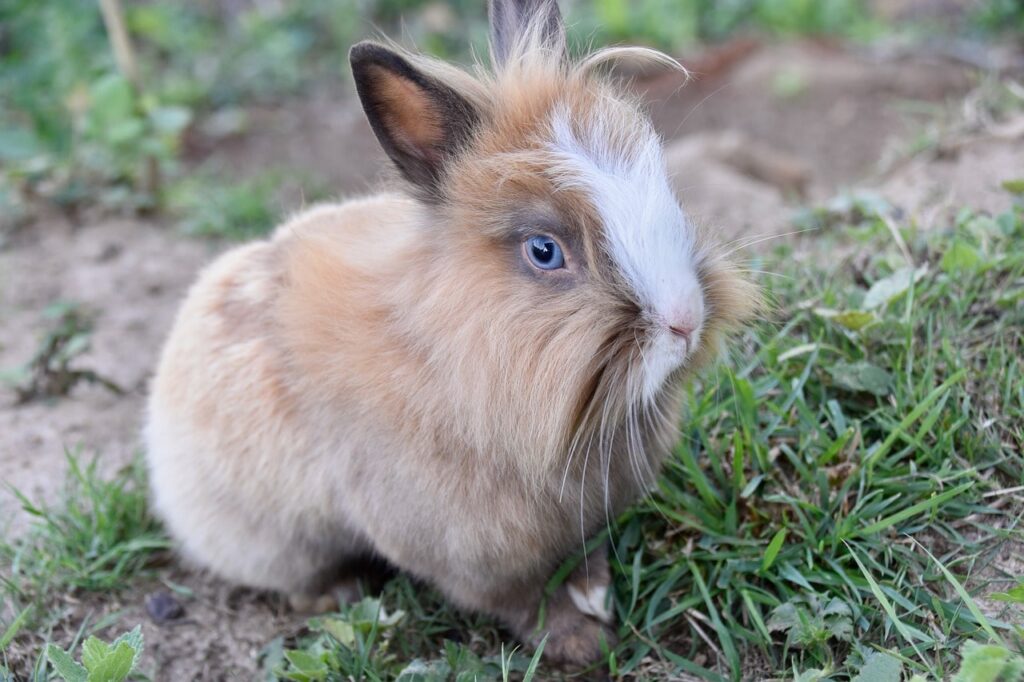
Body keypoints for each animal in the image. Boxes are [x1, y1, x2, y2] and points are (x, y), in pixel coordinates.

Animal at [144, 0, 757, 666]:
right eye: (544, 251)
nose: (685, 320)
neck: (452, 355)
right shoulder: (467, 552)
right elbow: (520, 601)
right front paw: (582, 642)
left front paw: (595, 592)